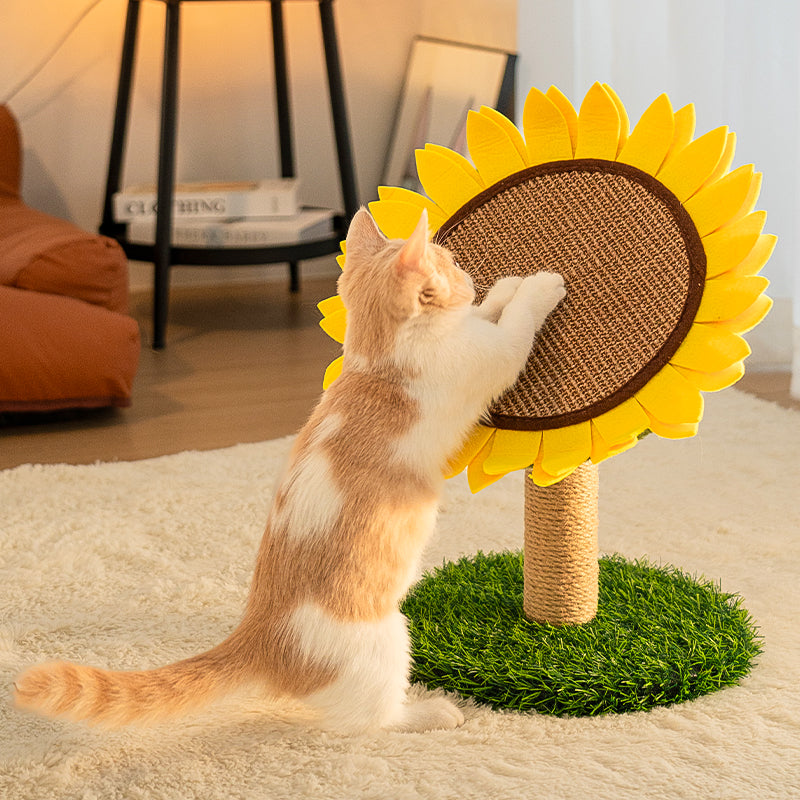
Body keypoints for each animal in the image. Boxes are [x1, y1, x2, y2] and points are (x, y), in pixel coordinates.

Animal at [10, 209, 564, 736]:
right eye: (448, 261)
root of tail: (258, 634)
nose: (468, 273)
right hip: (386, 638)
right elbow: (511, 328)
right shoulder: (487, 358)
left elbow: (486, 316)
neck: (374, 359)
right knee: (368, 721)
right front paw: (538, 285)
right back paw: (432, 713)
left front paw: (502, 290)